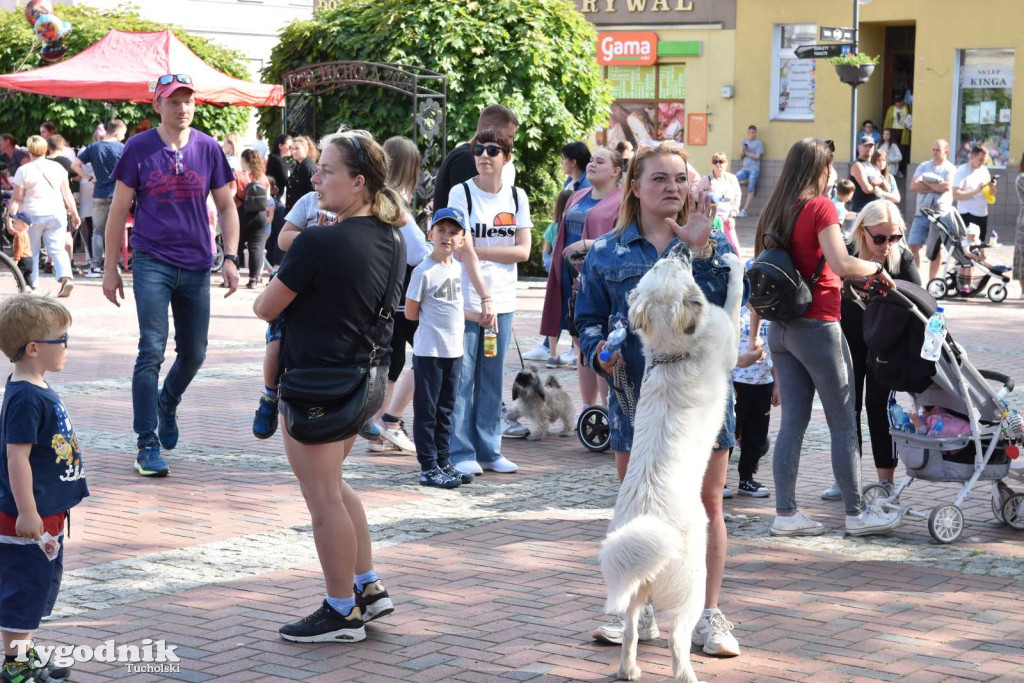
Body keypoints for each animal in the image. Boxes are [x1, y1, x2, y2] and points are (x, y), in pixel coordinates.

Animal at [598, 242, 741, 679]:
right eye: (674, 265)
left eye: (662, 264)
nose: (678, 246)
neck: (673, 351)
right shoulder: (729, 335)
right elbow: (735, 297)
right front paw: (736, 264)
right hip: (693, 587)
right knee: (678, 642)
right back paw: (688, 675)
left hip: (632, 593)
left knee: (630, 631)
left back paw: (628, 669)